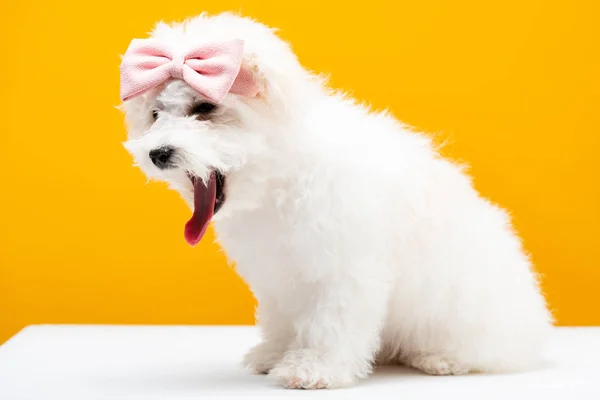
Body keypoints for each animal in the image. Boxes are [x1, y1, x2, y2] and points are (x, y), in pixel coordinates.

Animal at [119, 11, 556, 388]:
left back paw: (440, 359)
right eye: (156, 114)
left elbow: (331, 323)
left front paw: (313, 368)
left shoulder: (343, 270)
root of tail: (534, 324)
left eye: (205, 108)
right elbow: (282, 319)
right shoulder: (279, 275)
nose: (158, 153)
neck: (283, 175)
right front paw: (274, 354)